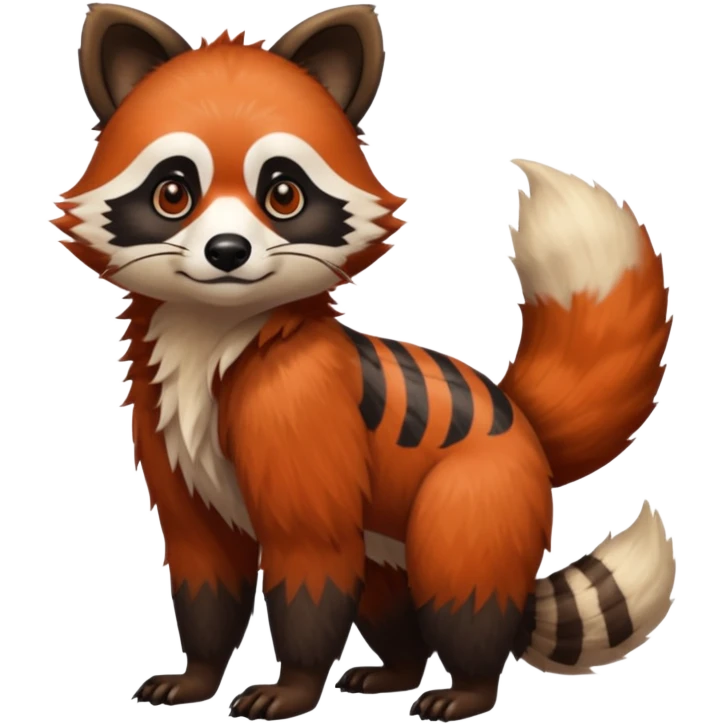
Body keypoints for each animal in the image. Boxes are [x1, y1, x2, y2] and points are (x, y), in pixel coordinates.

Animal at [53, 2, 677, 721]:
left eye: (284, 194)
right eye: (173, 193)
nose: (228, 251)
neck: (212, 332)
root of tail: (523, 421)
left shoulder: (303, 417)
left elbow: (310, 559)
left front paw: (295, 686)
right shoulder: (173, 451)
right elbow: (204, 569)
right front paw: (200, 674)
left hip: (477, 494)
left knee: (461, 587)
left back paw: (468, 687)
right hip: (388, 536)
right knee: (386, 598)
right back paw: (398, 669)